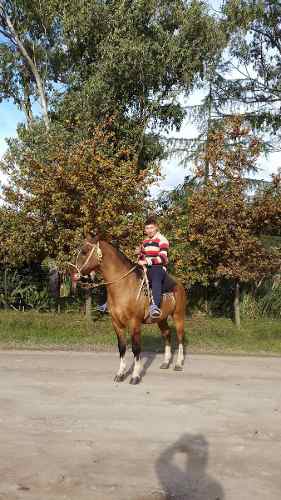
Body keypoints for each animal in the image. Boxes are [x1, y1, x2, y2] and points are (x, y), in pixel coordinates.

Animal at [71, 232, 187, 384]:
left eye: (84, 251)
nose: (73, 274)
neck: (124, 285)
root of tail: (178, 284)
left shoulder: (134, 323)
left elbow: (136, 349)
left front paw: (135, 376)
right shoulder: (116, 323)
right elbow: (122, 348)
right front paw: (120, 374)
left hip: (178, 316)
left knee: (180, 338)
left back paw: (178, 364)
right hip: (161, 318)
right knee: (167, 334)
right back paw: (166, 362)